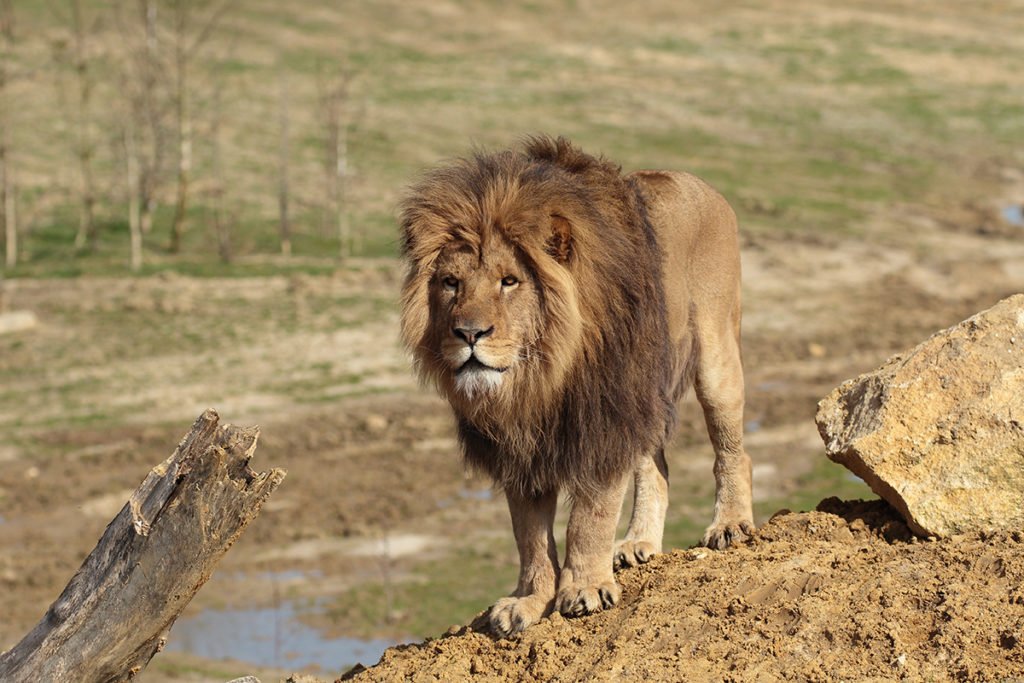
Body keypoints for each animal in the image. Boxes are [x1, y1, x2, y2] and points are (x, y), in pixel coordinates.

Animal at [399, 136, 754, 637]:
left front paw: (584, 589)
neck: (538, 378)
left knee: (733, 452)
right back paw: (639, 542)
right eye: (451, 283)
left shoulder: (605, 419)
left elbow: (590, 517)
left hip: (715, 360)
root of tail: (700, 184)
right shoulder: (519, 448)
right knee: (656, 468)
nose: (468, 333)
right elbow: (529, 536)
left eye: (509, 281)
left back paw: (730, 524)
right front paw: (528, 601)